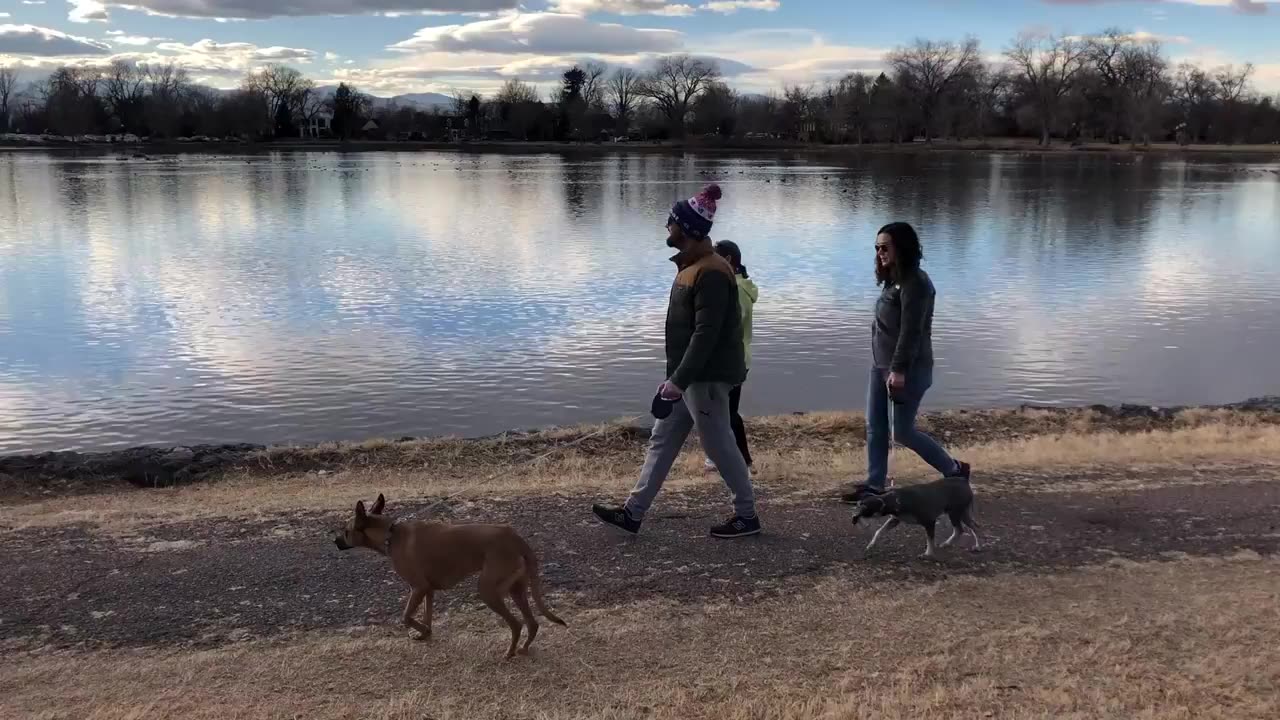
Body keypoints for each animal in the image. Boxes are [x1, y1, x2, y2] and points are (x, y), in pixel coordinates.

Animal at [335, 491, 565, 655]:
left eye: (346, 532)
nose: (334, 541)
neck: (390, 535)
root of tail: (515, 538)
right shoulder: (427, 590)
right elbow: (427, 615)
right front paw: (425, 634)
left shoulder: (418, 587)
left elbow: (406, 617)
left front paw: (420, 630)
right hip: (516, 589)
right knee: (532, 623)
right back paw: (524, 649)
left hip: (488, 590)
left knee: (517, 624)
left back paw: (509, 653)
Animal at [849, 476, 977, 556]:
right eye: (859, 504)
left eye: (864, 508)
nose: (854, 516)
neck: (897, 500)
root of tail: (964, 481)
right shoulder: (894, 520)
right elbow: (879, 531)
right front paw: (871, 545)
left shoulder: (929, 522)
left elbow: (930, 539)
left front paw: (928, 553)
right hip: (961, 513)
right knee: (969, 527)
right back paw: (949, 544)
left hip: (955, 513)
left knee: (964, 529)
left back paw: (975, 546)